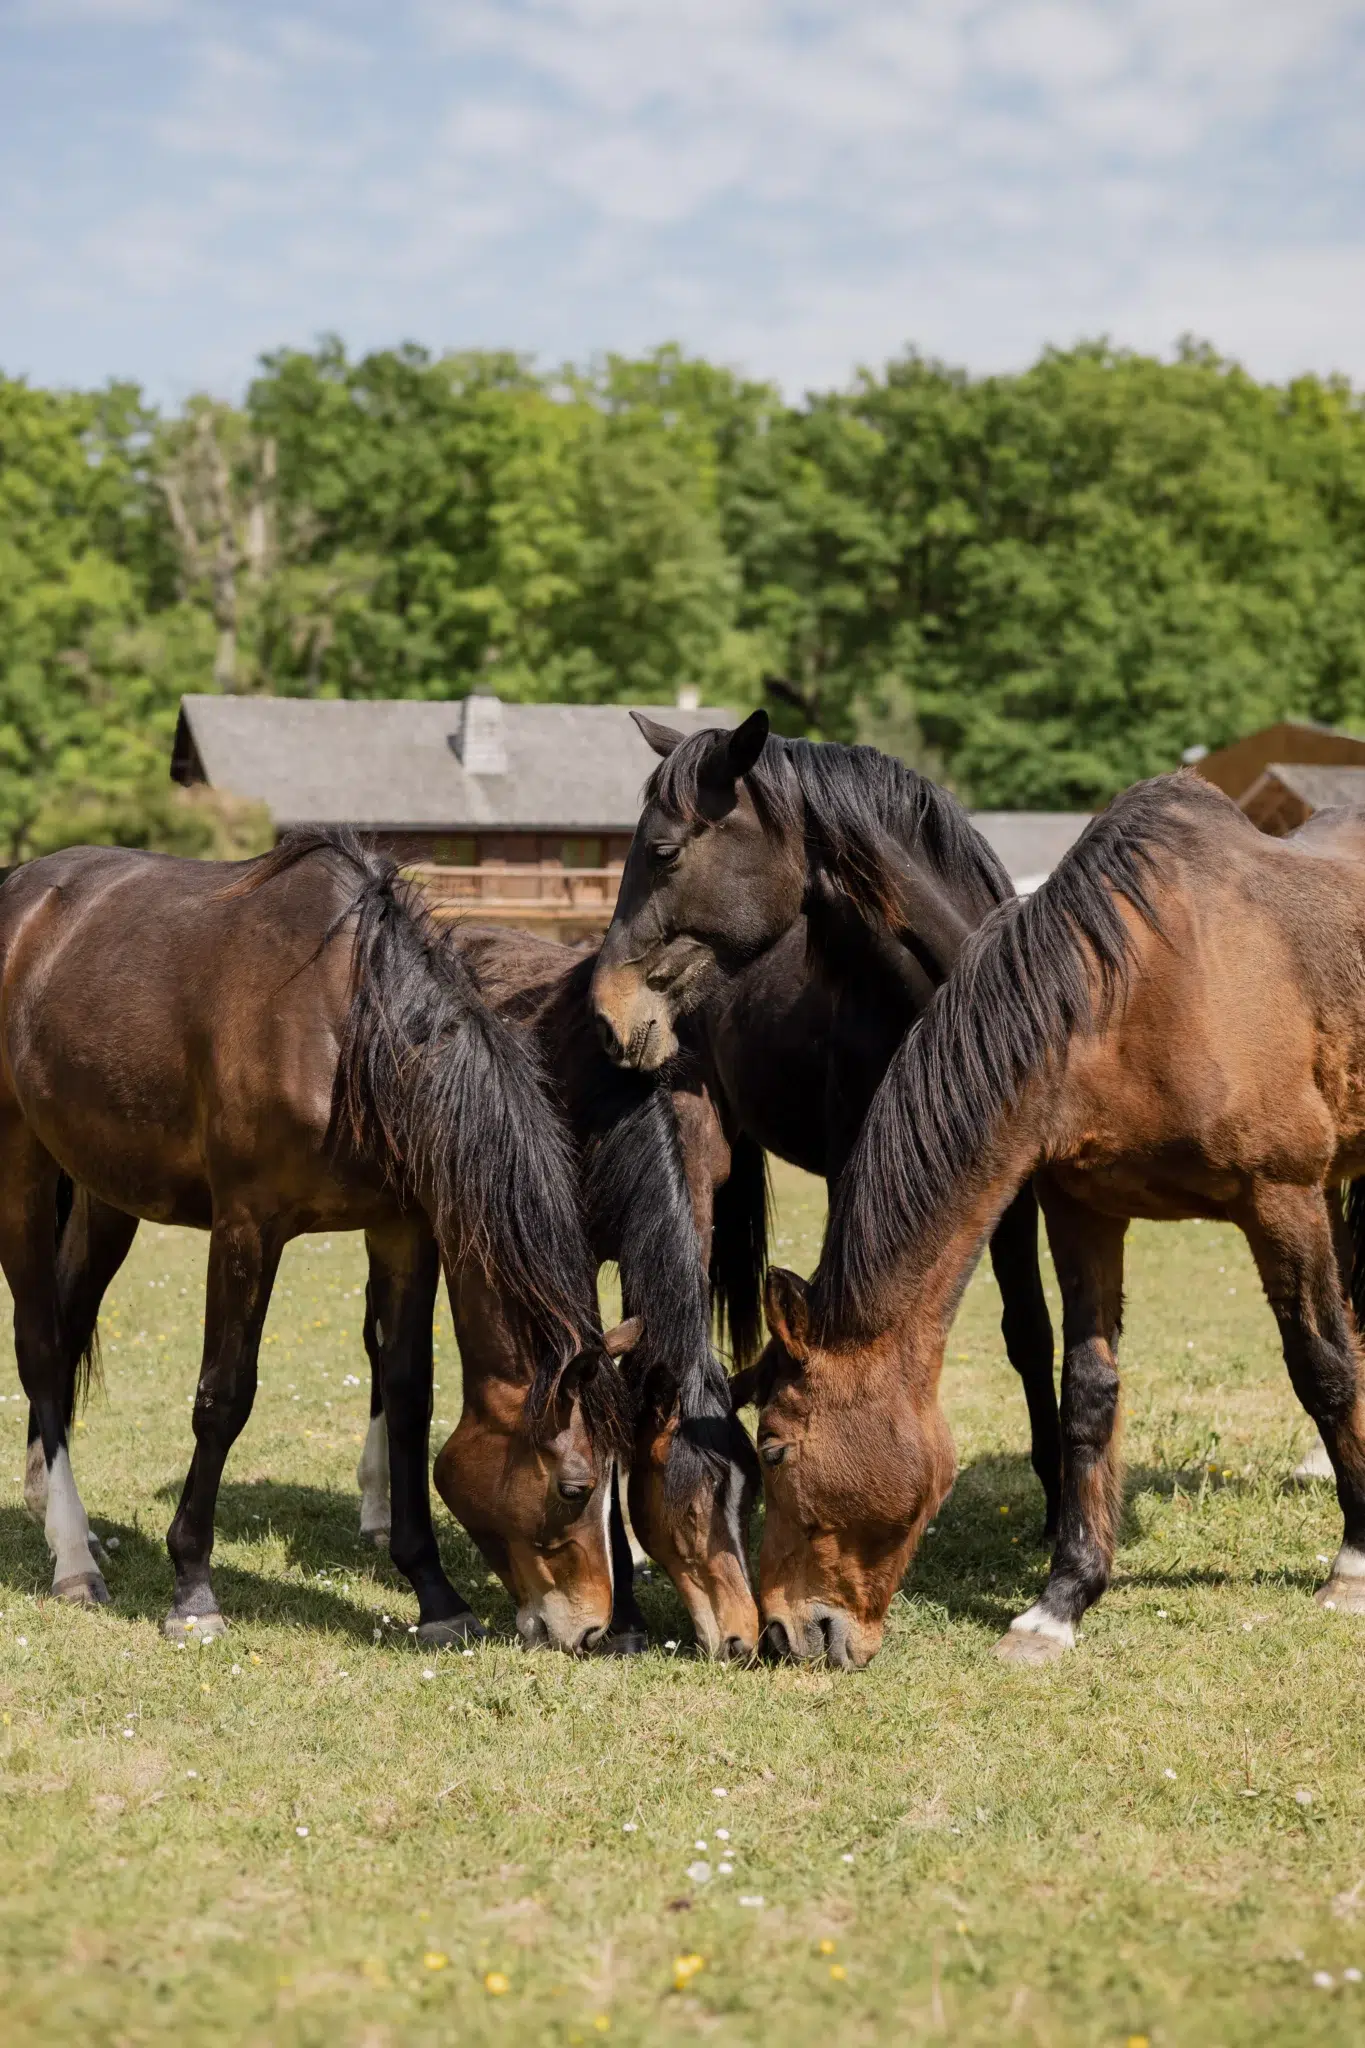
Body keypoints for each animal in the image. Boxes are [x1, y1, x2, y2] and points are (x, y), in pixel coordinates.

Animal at [0, 833, 636, 1652]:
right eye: (574, 1487)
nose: (591, 1630)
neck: (348, 1029)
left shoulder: (403, 1229)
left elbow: (408, 1396)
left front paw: (436, 1594)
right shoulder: (247, 1226)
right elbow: (224, 1398)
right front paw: (193, 1589)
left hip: (105, 1194)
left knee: (71, 1322)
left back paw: (58, 1515)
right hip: (20, 1164)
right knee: (42, 1346)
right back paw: (73, 1559)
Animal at [744, 774, 1365, 1667]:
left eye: (772, 1447)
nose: (783, 1635)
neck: (1140, 994)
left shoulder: (1279, 1195)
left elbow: (1321, 1368)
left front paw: (1351, 1564)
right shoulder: (1081, 1210)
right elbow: (1087, 1395)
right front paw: (1061, 1600)